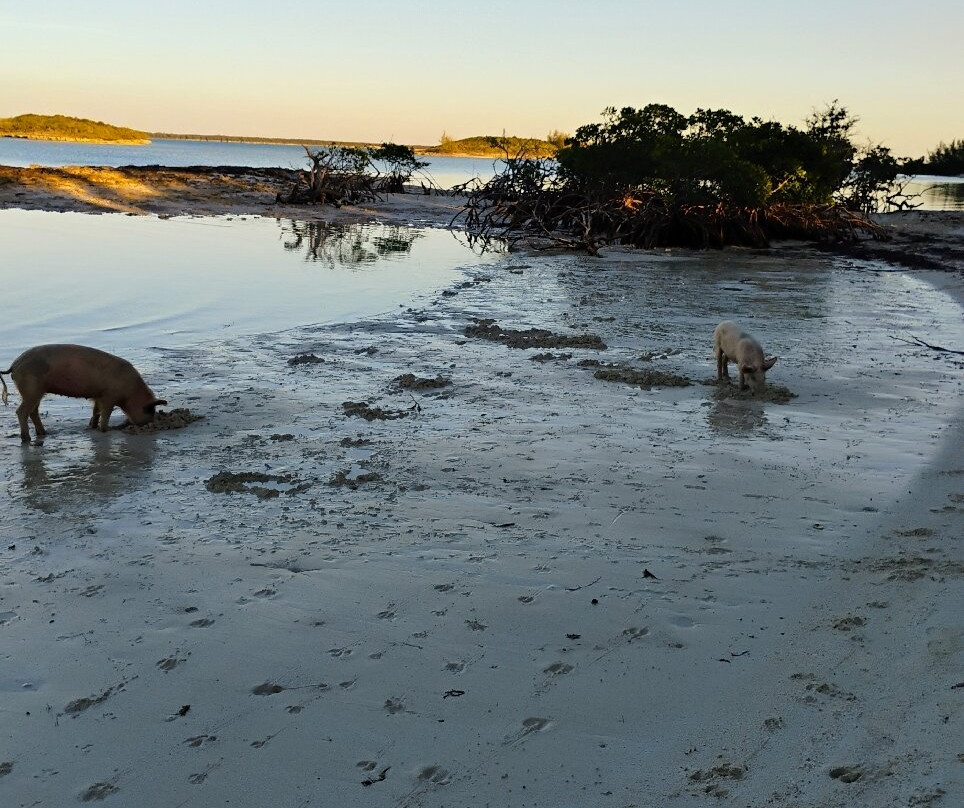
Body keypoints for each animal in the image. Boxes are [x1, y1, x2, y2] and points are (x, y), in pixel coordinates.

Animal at [0, 344, 166, 443]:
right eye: (150, 410)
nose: (151, 423)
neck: (131, 392)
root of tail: (14, 365)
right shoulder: (108, 396)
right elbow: (105, 414)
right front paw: (105, 430)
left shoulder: (98, 396)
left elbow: (96, 412)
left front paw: (92, 426)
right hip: (32, 389)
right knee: (21, 411)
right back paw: (27, 439)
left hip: (37, 392)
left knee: (33, 411)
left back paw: (44, 433)